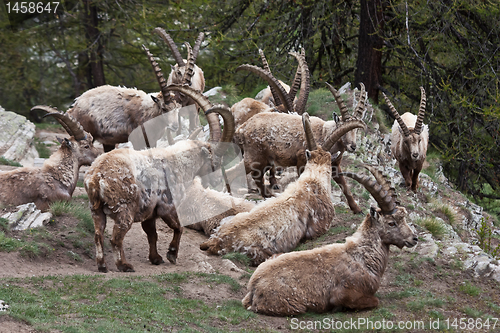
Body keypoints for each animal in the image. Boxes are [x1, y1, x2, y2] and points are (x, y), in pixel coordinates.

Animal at [31, 45, 180, 152]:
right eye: (164, 108)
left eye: (177, 108)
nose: (175, 126)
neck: (149, 112)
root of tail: (73, 108)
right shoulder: (138, 141)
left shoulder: (152, 141)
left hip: (108, 142)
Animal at [85, 89, 235, 272]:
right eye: (216, 161)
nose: (218, 180)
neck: (179, 162)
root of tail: (96, 177)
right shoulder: (167, 207)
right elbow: (179, 227)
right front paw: (171, 254)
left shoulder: (149, 212)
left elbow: (152, 234)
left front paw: (156, 258)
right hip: (124, 209)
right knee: (116, 238)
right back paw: (124, 265)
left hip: (96, 209)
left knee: (98, 235)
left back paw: (102, 265)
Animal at [242, 165, 418, 316]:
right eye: (392, 223)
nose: (414, 238)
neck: (363, 257)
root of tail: (253, 288)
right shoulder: (346, 293)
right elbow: (375, 301)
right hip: (294, 305)